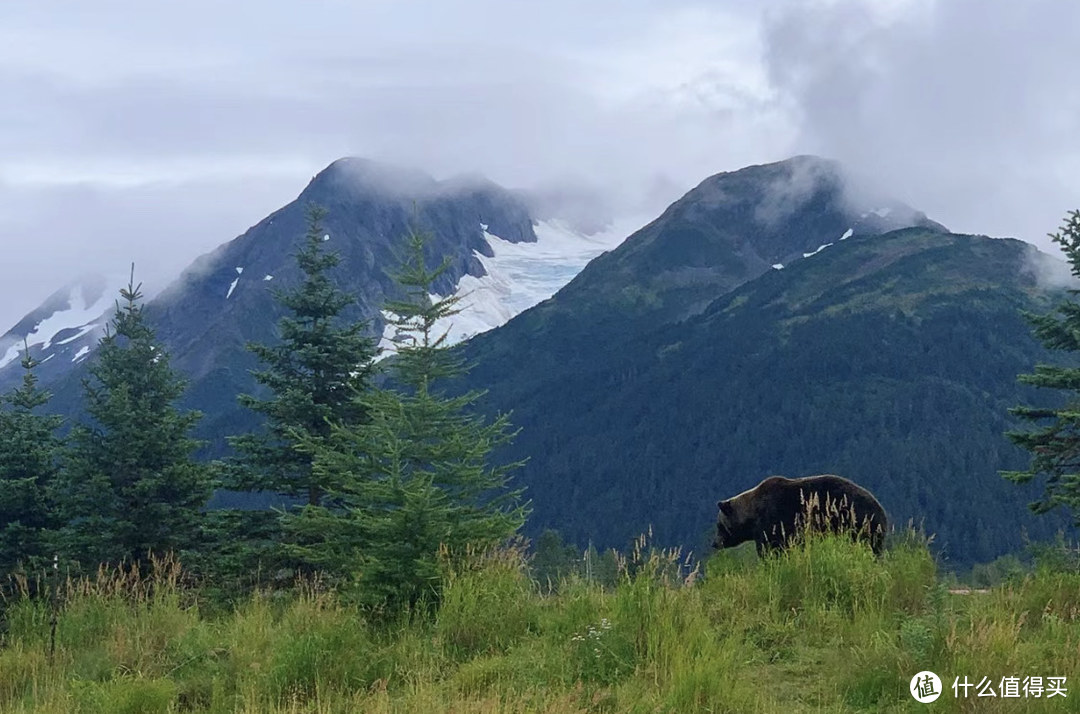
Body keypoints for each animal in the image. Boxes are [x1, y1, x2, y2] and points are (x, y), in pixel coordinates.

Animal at [717, 473, 885, 557]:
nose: (715, 543)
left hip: (856, 523)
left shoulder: (772, 521)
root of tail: (882, 512)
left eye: (719, 525)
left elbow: (770, 548)